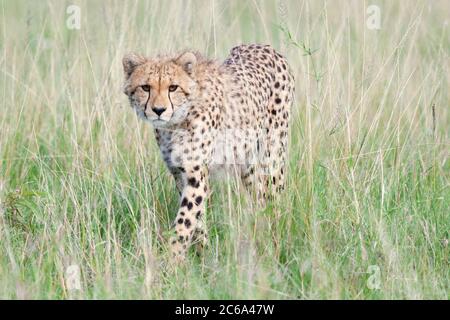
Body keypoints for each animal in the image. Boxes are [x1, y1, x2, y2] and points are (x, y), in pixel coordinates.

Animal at [121, 44, 294, 260]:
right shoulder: (181, 174)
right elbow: (196, 217)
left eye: (173, 87)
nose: (159, 110)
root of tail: (263, 46)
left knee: (274, 201)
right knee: (260, 199)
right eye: (145, 87)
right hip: (249, 166)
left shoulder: (196, 174)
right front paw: (203, 252)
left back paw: (275, 240)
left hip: (271, 159)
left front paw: (173, 258)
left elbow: (184, 220)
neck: (176, 122)